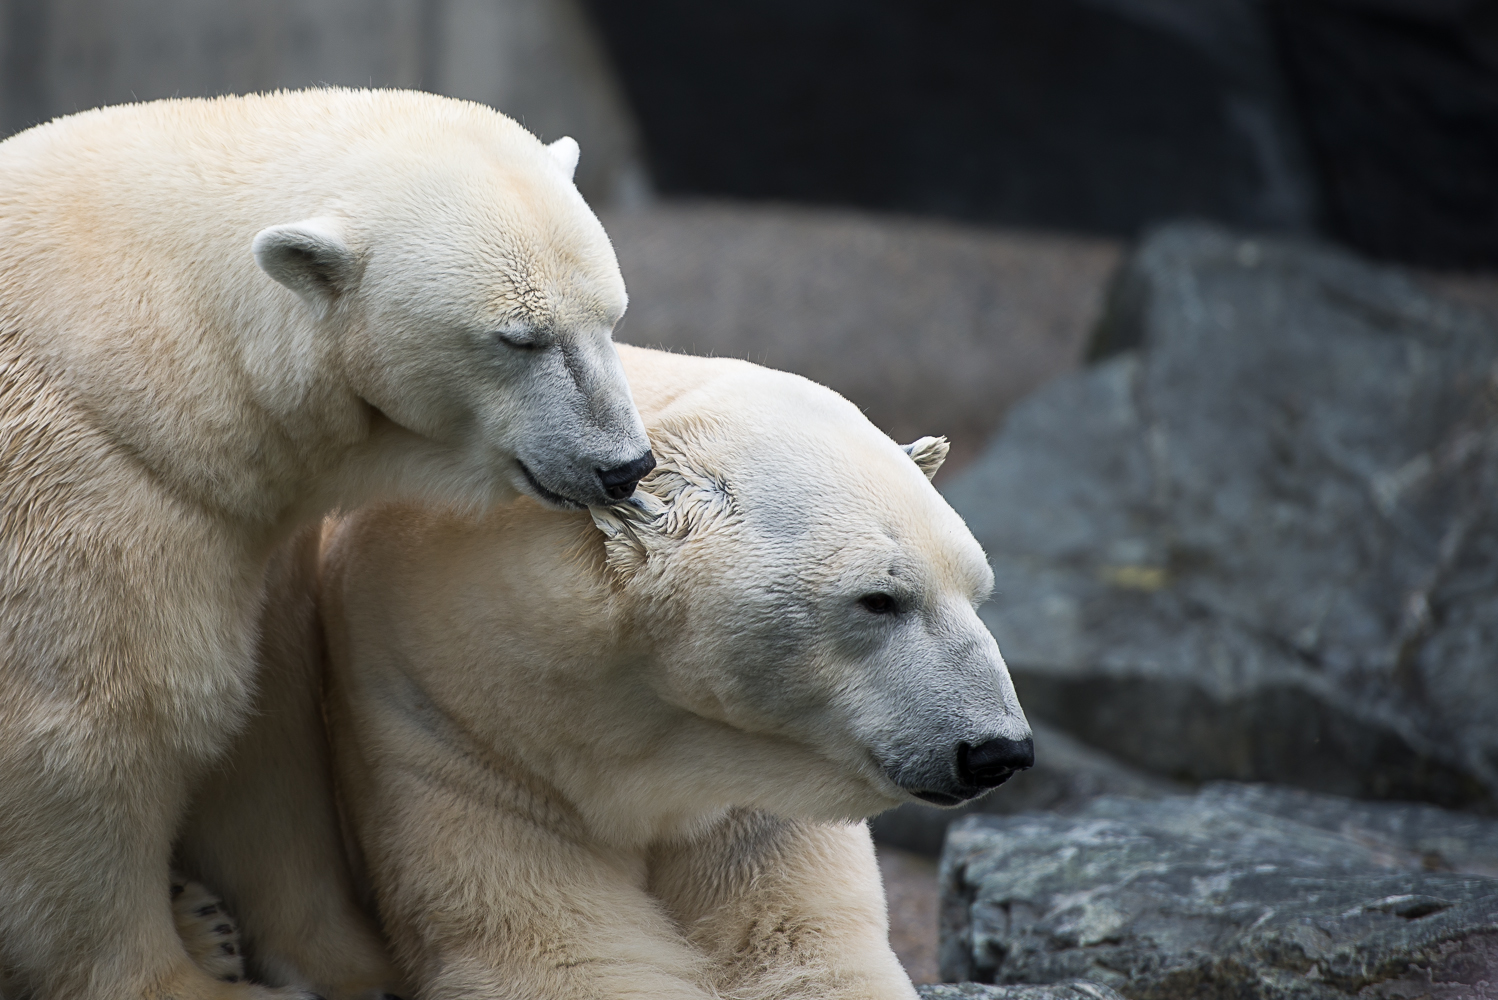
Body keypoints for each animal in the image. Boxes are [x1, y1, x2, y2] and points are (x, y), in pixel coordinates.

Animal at [1, 91, 656, 999]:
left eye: (612, 316)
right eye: (519, 337)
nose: (623, 465)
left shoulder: (249, 537)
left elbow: (268, 738)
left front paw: (352, 962)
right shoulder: (93, 495)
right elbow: (89, 742)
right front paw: (188, 984)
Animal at [199, 347, 1036, 999]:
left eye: (978, 591)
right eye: (879, 598)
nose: (997, 751)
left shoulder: (753, 792)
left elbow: (797, 943)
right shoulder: (451, 724)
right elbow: (571, 955)